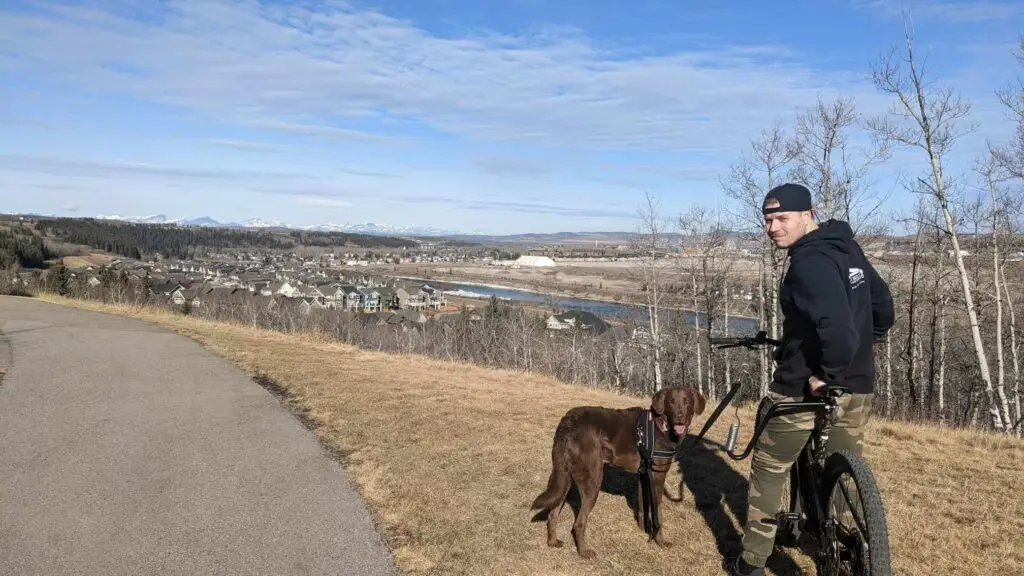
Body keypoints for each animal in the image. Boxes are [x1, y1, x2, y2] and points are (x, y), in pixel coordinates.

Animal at [528, 385, 704, 557]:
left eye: (687, 401)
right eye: (671, 402)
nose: (680, 418)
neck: (661, 425)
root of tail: (567, 422)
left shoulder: (643, 476)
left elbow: (642, 507)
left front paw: (642, 533)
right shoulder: (658, 477)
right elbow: (657, 513)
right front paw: (660, 541)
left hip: (564, 477)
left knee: (553, 513)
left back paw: (553, 542)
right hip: (593, 479)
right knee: (578, 523)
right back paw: (584, 552)